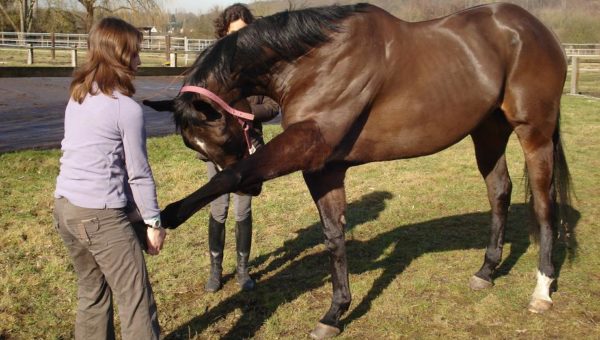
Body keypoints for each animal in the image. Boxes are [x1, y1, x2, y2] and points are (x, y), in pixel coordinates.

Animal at [145, 1, 572, 338]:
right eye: (195, 147)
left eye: (217, 136)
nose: (251, 195)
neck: (312, 61)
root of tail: (534, 28)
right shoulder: (325, 169)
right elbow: (334, 236)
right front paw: (335, 313)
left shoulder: (307, 148)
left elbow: (231, 174)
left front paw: (168, 216)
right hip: (488, 131)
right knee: (499, 190)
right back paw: (486, 271)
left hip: (533, 132)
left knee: (544, 202)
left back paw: (542, 290)